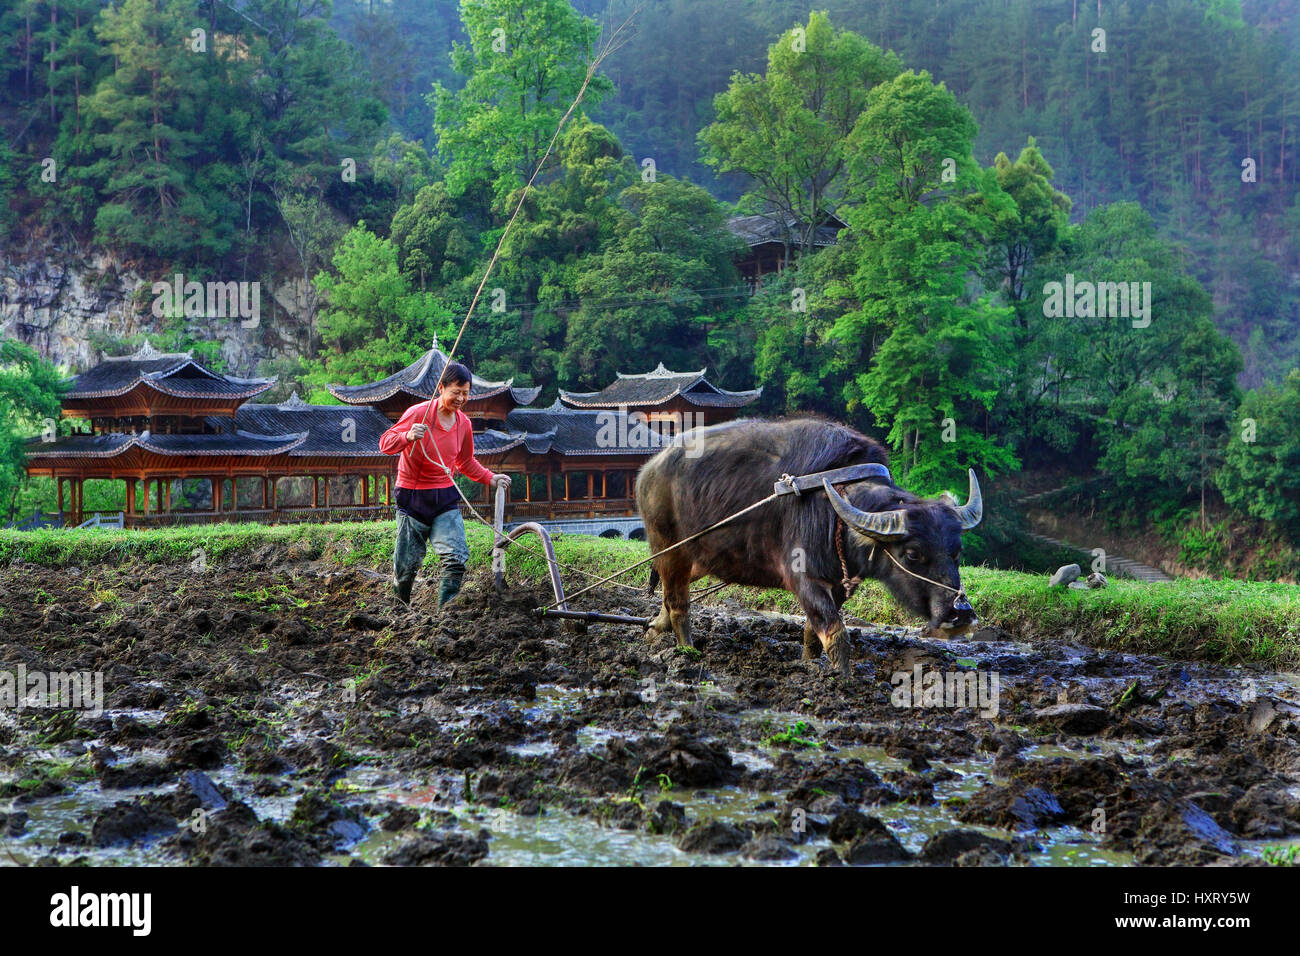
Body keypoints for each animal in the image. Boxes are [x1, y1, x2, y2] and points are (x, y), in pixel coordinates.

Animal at [634, 421, 977, 681]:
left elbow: (815, 630)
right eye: (913, 554)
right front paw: (843, 678)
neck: (834, 511)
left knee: (670, 591)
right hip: (669, 549)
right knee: (678, 601)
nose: (960, 612)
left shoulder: (837, 584)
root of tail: (647, 471)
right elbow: (836, 632)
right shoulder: (805, 578)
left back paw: (655, 628)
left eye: (957, 552)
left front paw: (810, 665)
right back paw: (687, 651)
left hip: (700, 558)